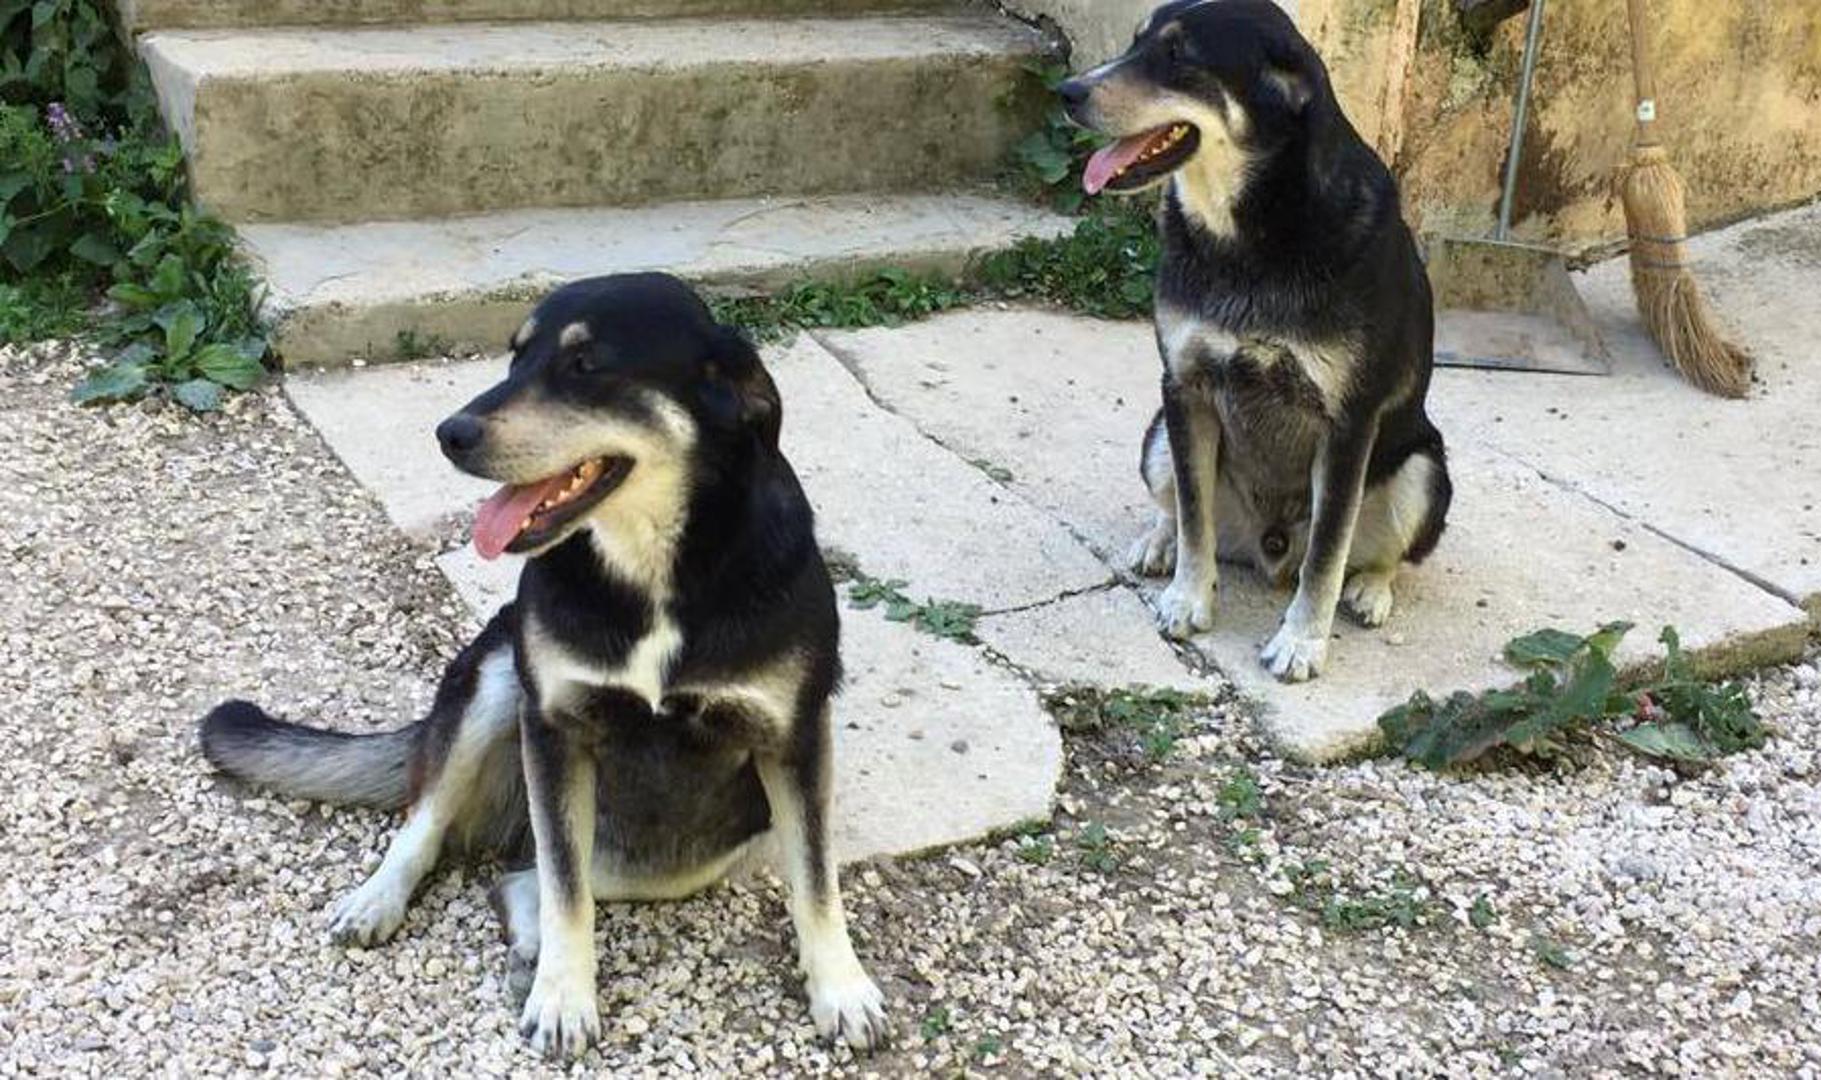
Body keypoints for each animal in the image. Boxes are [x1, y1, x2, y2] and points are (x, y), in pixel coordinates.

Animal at [200, 273, 887, 1058]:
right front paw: (564, 998)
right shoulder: (554, 728)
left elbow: (815, 879)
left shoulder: (795, 739)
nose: (450, 434)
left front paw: (841, 989)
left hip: (671, 860)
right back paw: (383, 900)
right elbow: (565, 887)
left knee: (520, 877)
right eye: (515, 356)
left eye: (586, 366)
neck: (654, 568)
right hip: (498, 680)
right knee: (436, 827)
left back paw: (526, 946)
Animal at [1059, 0, 1452, 682]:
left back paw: (1371, 590)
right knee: (1180, 509)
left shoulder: (1348, 424)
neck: (1249, 237)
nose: (1068, 93)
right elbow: (1195, 518)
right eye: (1135, 43)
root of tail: (1266, 550)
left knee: (1379, 555)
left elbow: (1327, 552)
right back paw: (1159, 541)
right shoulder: (1184, 390)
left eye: (1179, 56)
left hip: (1427, 471)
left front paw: (1302, 641)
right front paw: (1188, 598)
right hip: (1157, 433)